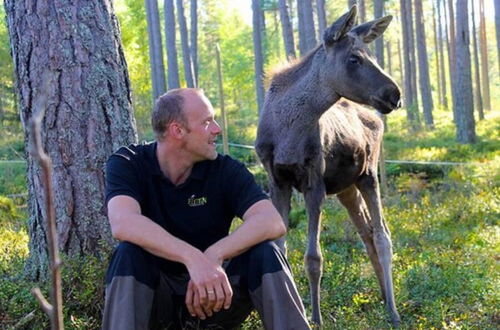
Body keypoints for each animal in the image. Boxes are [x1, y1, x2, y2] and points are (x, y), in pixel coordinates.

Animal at [256, 6, 404, 326]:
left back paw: (393, 310)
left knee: (382, 236)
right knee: (367, 234)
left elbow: (314, 258)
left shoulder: (314, 183)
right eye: (354, 58)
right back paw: (383, 297)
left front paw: (316, 316)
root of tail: (374, 118)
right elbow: (280, 248)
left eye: (372, 55)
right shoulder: (277, 180)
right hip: (347, 188)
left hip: (368, 175)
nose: (395, 94)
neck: (289, 128)